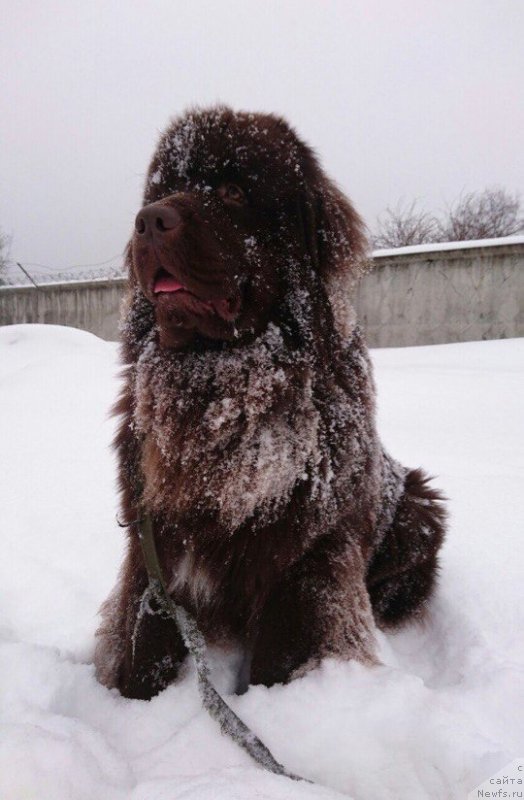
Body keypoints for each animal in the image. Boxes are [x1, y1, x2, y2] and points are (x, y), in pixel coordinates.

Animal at [95, 106, 446, 700]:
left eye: (233, 190)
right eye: (162, 189)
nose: (149, 220)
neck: (220, 385)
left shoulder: (308, 555)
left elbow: (282, 655)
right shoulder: (154, 546)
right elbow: (148, 642)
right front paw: (135, 701)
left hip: (420, 507)